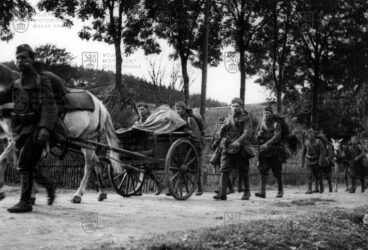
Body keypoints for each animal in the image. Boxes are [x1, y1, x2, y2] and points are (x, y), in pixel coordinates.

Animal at [0, 63, 121, 204]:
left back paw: (78, 194)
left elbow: (5, 158)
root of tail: (101, 105)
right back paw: (102, 192)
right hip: (83, 139)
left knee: (89, 165)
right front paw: (32, 193)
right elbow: (20, 162)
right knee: (96, 161)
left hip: (88, 137)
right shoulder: (14, 138)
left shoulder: (20, 137)